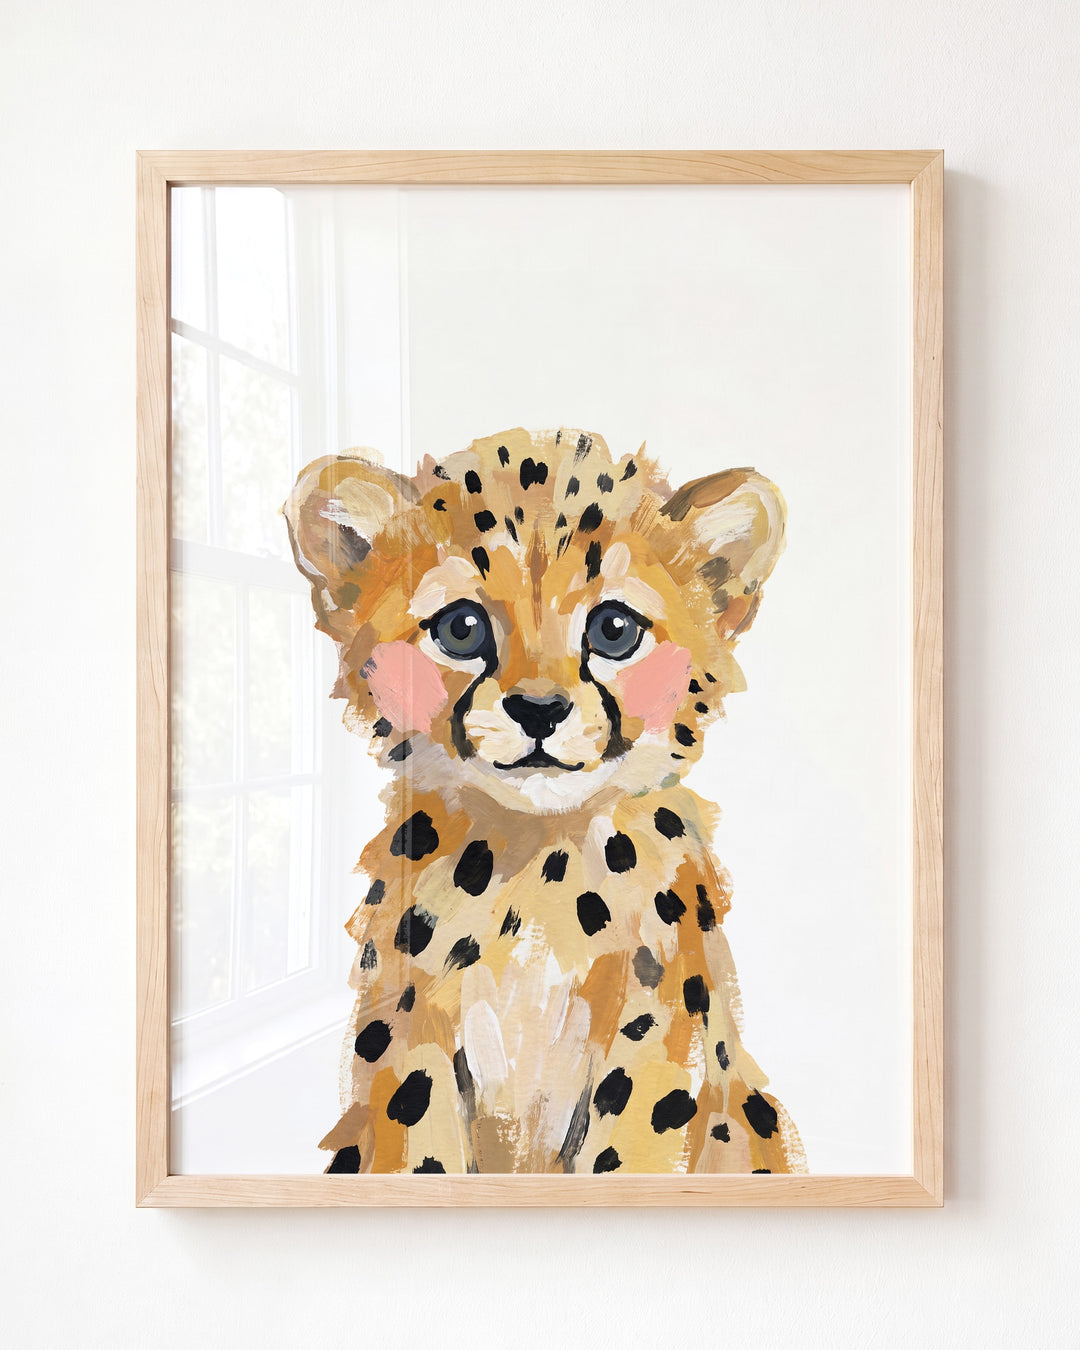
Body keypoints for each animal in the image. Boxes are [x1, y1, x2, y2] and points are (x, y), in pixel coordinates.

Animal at [284, 426, 806, 1175]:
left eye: (614, 629)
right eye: (462, 628)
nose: (538, 710)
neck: (537, 864)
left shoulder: (652, 1041)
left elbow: (626, 1152)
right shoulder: (411, 1031)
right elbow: (420, 1144)